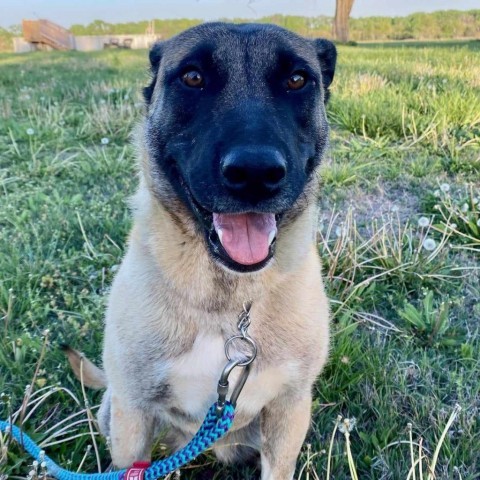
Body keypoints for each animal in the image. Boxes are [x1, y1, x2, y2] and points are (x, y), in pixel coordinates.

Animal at [64, 22, 338, 480]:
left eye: (298, 80)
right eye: (193, 77)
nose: (255, 173)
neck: (228, 302)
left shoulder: (289, 410)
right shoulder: (132, 416)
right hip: (114, 413)